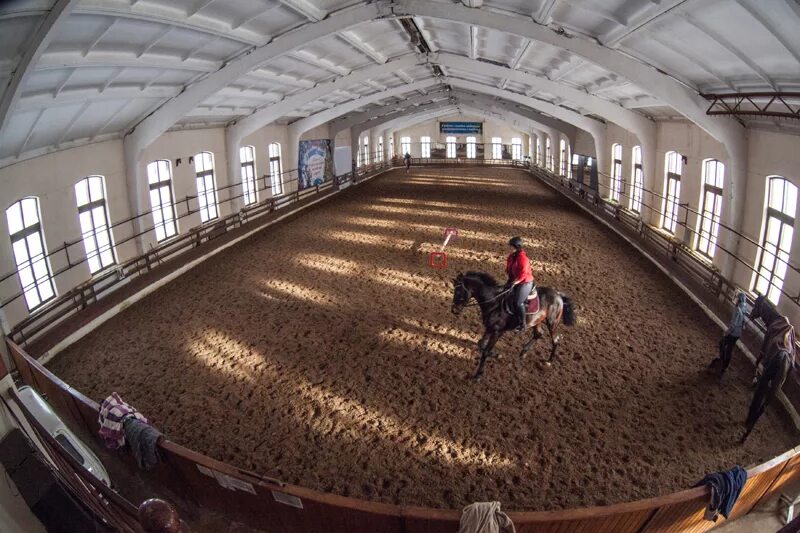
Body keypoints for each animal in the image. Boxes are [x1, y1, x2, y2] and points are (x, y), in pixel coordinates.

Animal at [744, 294, 792, 442]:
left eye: (756, 304)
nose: (751, 315)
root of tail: (784, 358)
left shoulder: (764, 347)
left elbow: (758, 360)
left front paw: (754, 379)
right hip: (774, 389)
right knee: (763, 407)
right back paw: (748, 430)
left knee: (759, 399)